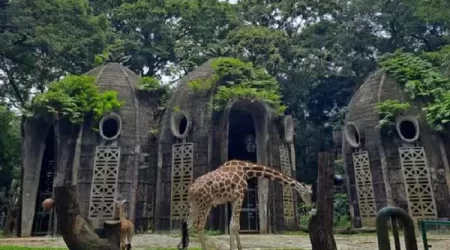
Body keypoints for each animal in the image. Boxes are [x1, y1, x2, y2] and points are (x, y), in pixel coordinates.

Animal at [176, 160, 312, 250]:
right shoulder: (240, 196)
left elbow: (234, 225)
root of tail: (191, 189)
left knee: (188, 223)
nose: (310, 204)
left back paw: (182, 246)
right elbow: (235, 225)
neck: (247, 170)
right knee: (198, 225)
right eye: (308, 193)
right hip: (205, 203)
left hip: (195, 204)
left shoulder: (233, 199)